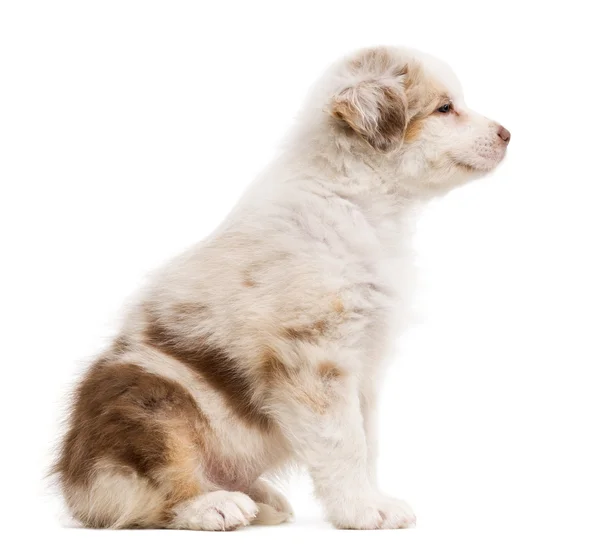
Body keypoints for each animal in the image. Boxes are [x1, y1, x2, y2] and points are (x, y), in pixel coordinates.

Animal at [54, 44, 508, 528]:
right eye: (445, 108)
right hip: (152, 400)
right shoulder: (315, 356)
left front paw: (372, 500)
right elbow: (346, 443)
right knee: (151, 489)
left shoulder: (363, 363)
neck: (357, 199)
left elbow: (367, 440)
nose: (508, 134)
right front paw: (363, 510)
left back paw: (261, 499)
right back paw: (214, 504)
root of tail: (73, 483)